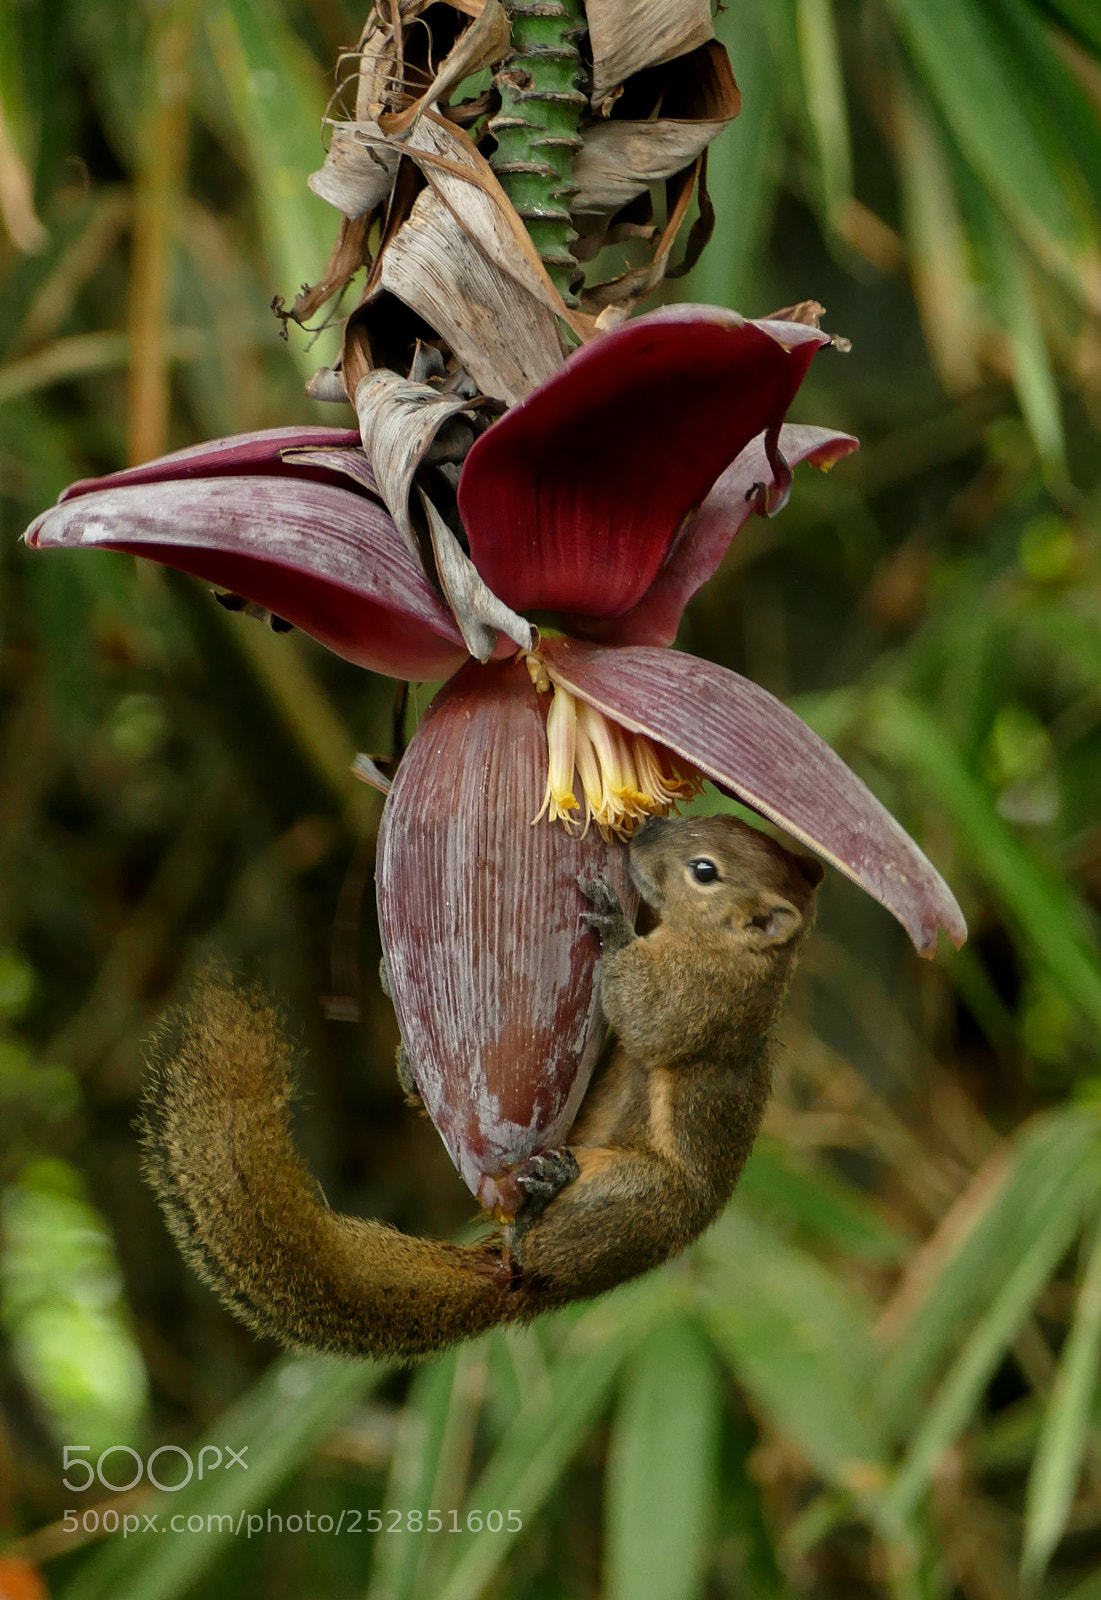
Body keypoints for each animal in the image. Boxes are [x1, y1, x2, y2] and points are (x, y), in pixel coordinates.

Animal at [138, 815, 822, 1360]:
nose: (646, 829)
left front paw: (612, 924)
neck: (741, 953)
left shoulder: (704, 1000)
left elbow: (648, 1014)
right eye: (717, 819)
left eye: (705, 871)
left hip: (636, 1202)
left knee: (541, 1246)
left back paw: (537, 1210)